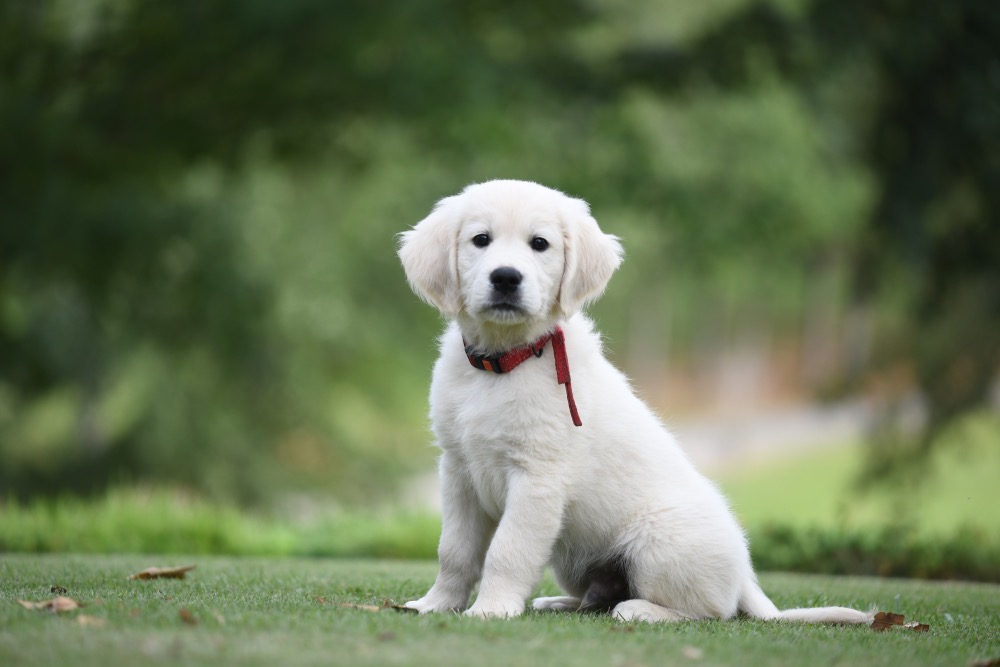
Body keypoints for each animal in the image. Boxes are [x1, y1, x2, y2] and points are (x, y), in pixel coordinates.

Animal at [394, 180, 872, 624]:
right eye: (481, 240)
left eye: (540, 244)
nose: (506, 277)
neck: (504, 362)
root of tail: (745, 578)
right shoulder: (458, 471)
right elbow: (454, 551)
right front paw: (435, 604)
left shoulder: (537, 477)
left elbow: (507, 550)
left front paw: (491, 609)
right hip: (573, 557)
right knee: (599, 596)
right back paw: (562, 602)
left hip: (658, 542)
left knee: (710, 610)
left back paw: (641, 610)